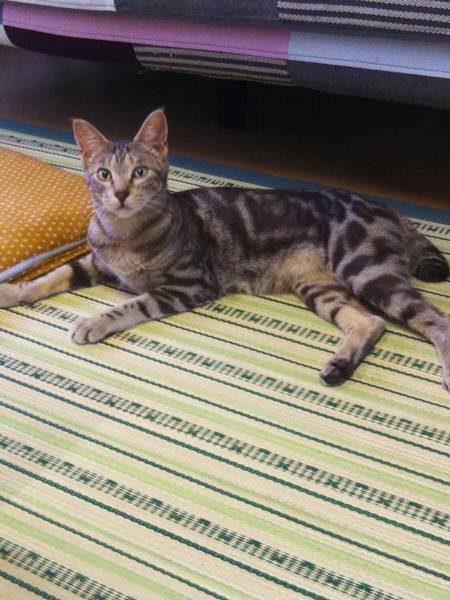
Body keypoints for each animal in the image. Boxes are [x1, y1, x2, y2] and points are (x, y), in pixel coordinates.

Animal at [0, 109, 449, 391]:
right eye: (104, 174)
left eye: (140, 173)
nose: (121, 193)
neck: (123, 234)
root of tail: (386, 207)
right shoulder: (95, 262)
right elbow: (51, 276)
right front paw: (12, 290)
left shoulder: (189, 285)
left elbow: (129, 305)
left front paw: (92, 322)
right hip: (319, 286)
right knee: (370, 323)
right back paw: (339, 366)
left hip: (366, 270)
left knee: (435, 320)